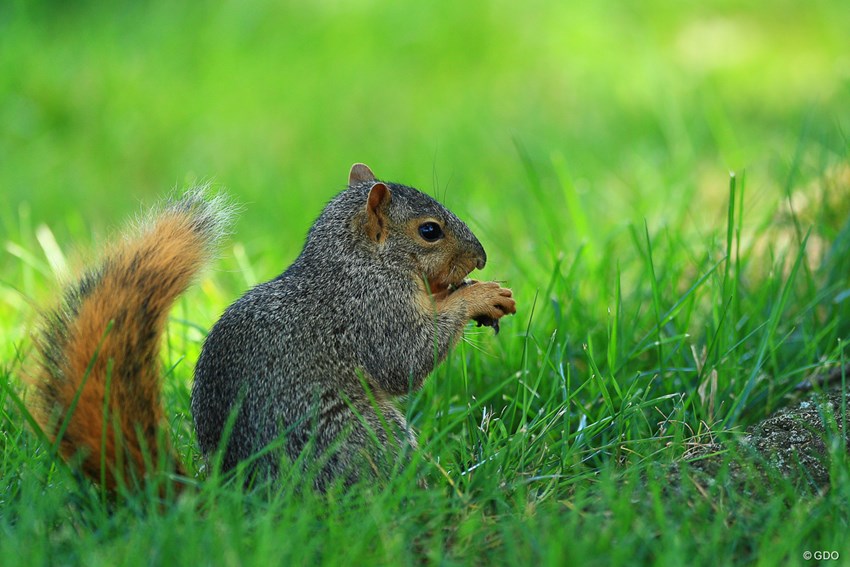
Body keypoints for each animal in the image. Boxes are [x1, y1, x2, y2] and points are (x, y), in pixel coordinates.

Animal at [26, 163, 512, 492]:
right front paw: (479, 295)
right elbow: (406, 359)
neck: (356, 260)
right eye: (429, 231)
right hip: (357, 435)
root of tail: (237, 494)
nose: (481, 257)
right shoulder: (372, 311)